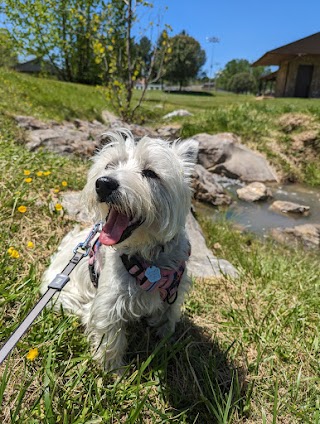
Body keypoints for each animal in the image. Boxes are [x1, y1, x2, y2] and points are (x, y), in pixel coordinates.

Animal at [41, 130, 199, 372]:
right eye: (110, 165)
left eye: (150, 173)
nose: (104, 184)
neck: (149, 257)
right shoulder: (110, 302)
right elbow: (111, 340)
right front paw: (114, 372)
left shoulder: (174, 293)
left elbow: (167, 319)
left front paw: (165, 340)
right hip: (64, 297)